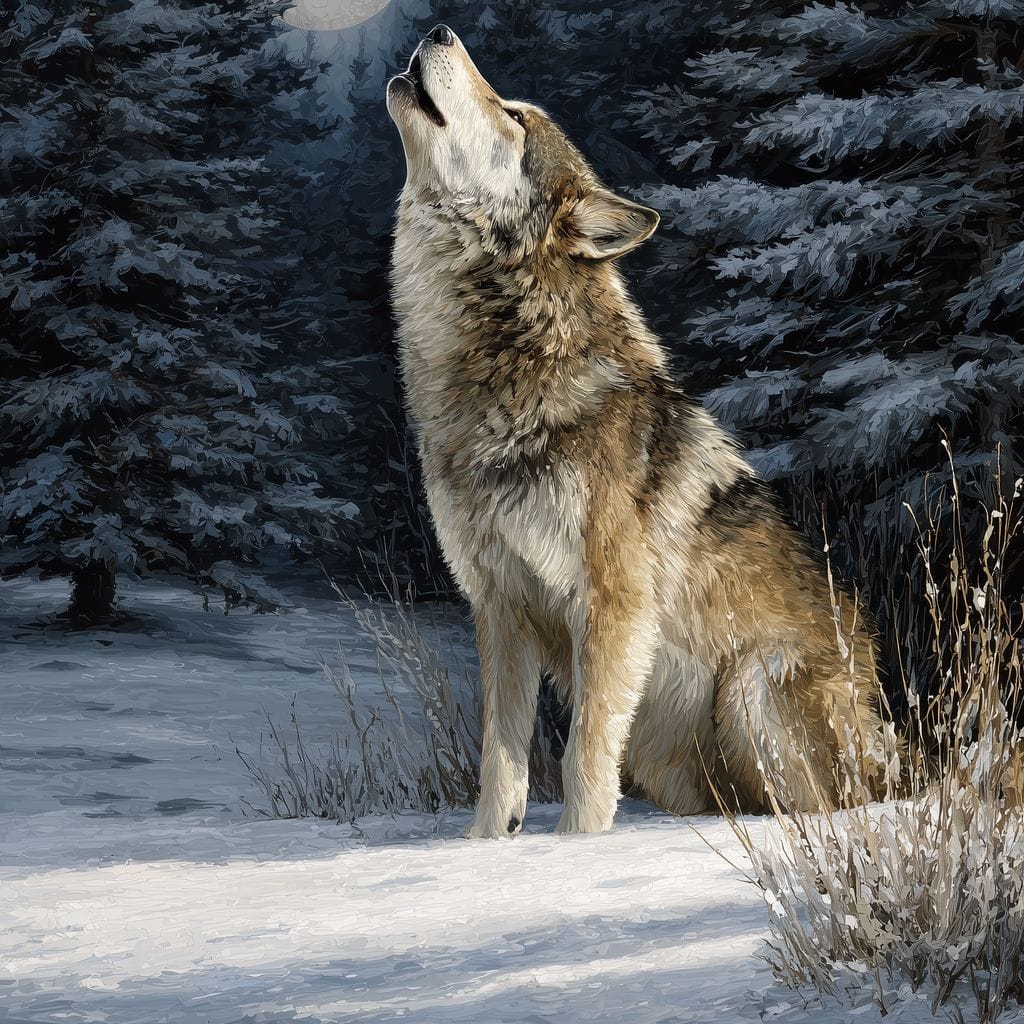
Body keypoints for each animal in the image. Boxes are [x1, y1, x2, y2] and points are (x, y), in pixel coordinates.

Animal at [387, 25, 887, 837]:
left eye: (515, 117)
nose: (438, 32)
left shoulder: (613, 607)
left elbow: (583, 757)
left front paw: (575, 851)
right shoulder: (499, 611)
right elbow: (502, 765)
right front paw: (485, 852)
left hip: (750, 683)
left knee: (825, 811)